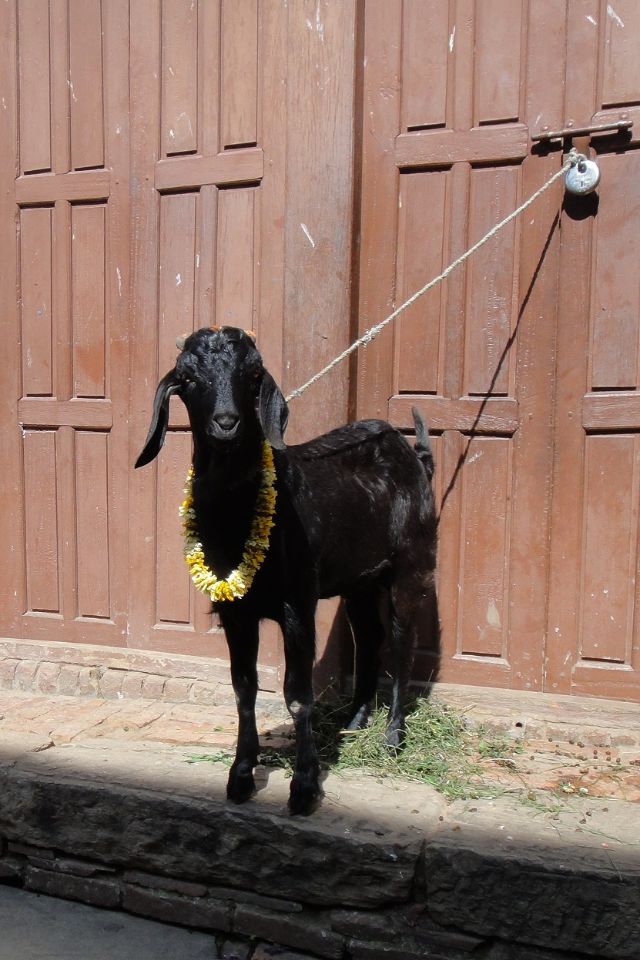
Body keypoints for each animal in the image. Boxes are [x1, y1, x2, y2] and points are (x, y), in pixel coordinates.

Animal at [134, 326, 436, 812]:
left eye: (253, 374)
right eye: (188, 377)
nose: (226, 422)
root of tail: (414, 455)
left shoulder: (297, 604)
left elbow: (298, 695)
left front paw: (305, 786)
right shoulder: (235, 610)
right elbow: (243, 688)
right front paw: (240, 775)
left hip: (412, 566)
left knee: (402, 645)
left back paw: (392, 737)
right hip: (359, 579)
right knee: (369, 636)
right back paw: (356, 719)